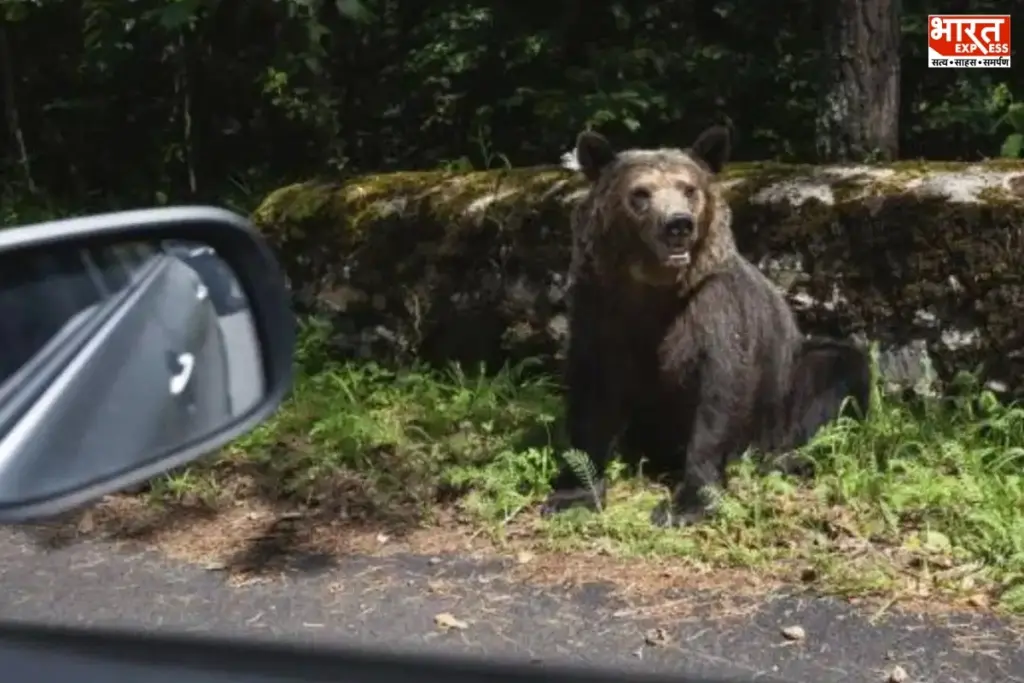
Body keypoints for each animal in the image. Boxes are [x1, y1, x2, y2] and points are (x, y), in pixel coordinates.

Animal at [543, 124, 872, 528]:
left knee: (834, 369)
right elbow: (592, 391)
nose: (678, 224)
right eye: (641, 193)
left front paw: (687, 503)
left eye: (688, 188)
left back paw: (787, 460)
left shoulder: (714, 306)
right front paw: (573, 493)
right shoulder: (600, 305)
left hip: (782, 392)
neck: (654, 289)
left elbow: (720, 392)